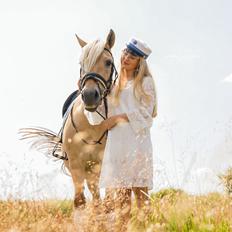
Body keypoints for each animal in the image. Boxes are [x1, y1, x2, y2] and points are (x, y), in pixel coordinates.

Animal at [19, 29, 118, 208]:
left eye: (108, 62)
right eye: (81, 64)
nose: (89, 95)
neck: (93, 124)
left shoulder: (109, 166)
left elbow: (109, 203)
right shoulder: (77, 166)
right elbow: (80, 201)